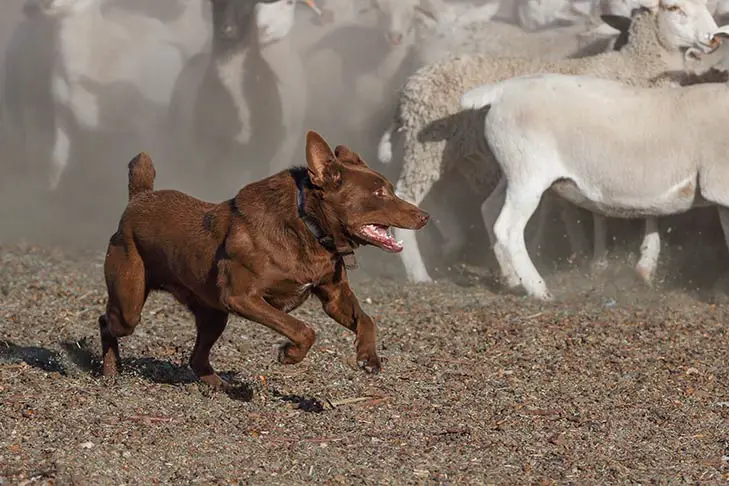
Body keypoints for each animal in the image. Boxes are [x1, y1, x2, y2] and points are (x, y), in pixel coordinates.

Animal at [96, 131, 426, 390]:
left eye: (389, 189)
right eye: (379, 193)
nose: (424, 216)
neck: (307, 226)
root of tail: (138, 199)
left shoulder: (333, 295)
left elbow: (366, 319)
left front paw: (368, 358)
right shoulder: (242, 297)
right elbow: (302, 329)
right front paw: (289, 354)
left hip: (213, 314)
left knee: (197, 358)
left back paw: (224, 387)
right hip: (130, 301)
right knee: (107, 321)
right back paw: (111, 372)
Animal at [382, 0, 716, 284]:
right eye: (676, 8)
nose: (714, 39)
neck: (635, 66)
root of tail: (410, 85)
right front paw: (624, 261)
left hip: (449, 151)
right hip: (428, 150)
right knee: (410, 195)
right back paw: (420, 274)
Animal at [456, 28, 728, 302]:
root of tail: (501, 90)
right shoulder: (720, 186)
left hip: (513, 168)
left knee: (489, 209)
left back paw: (512, 279)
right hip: (529, 173)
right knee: (508, 228)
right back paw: (539, 289)